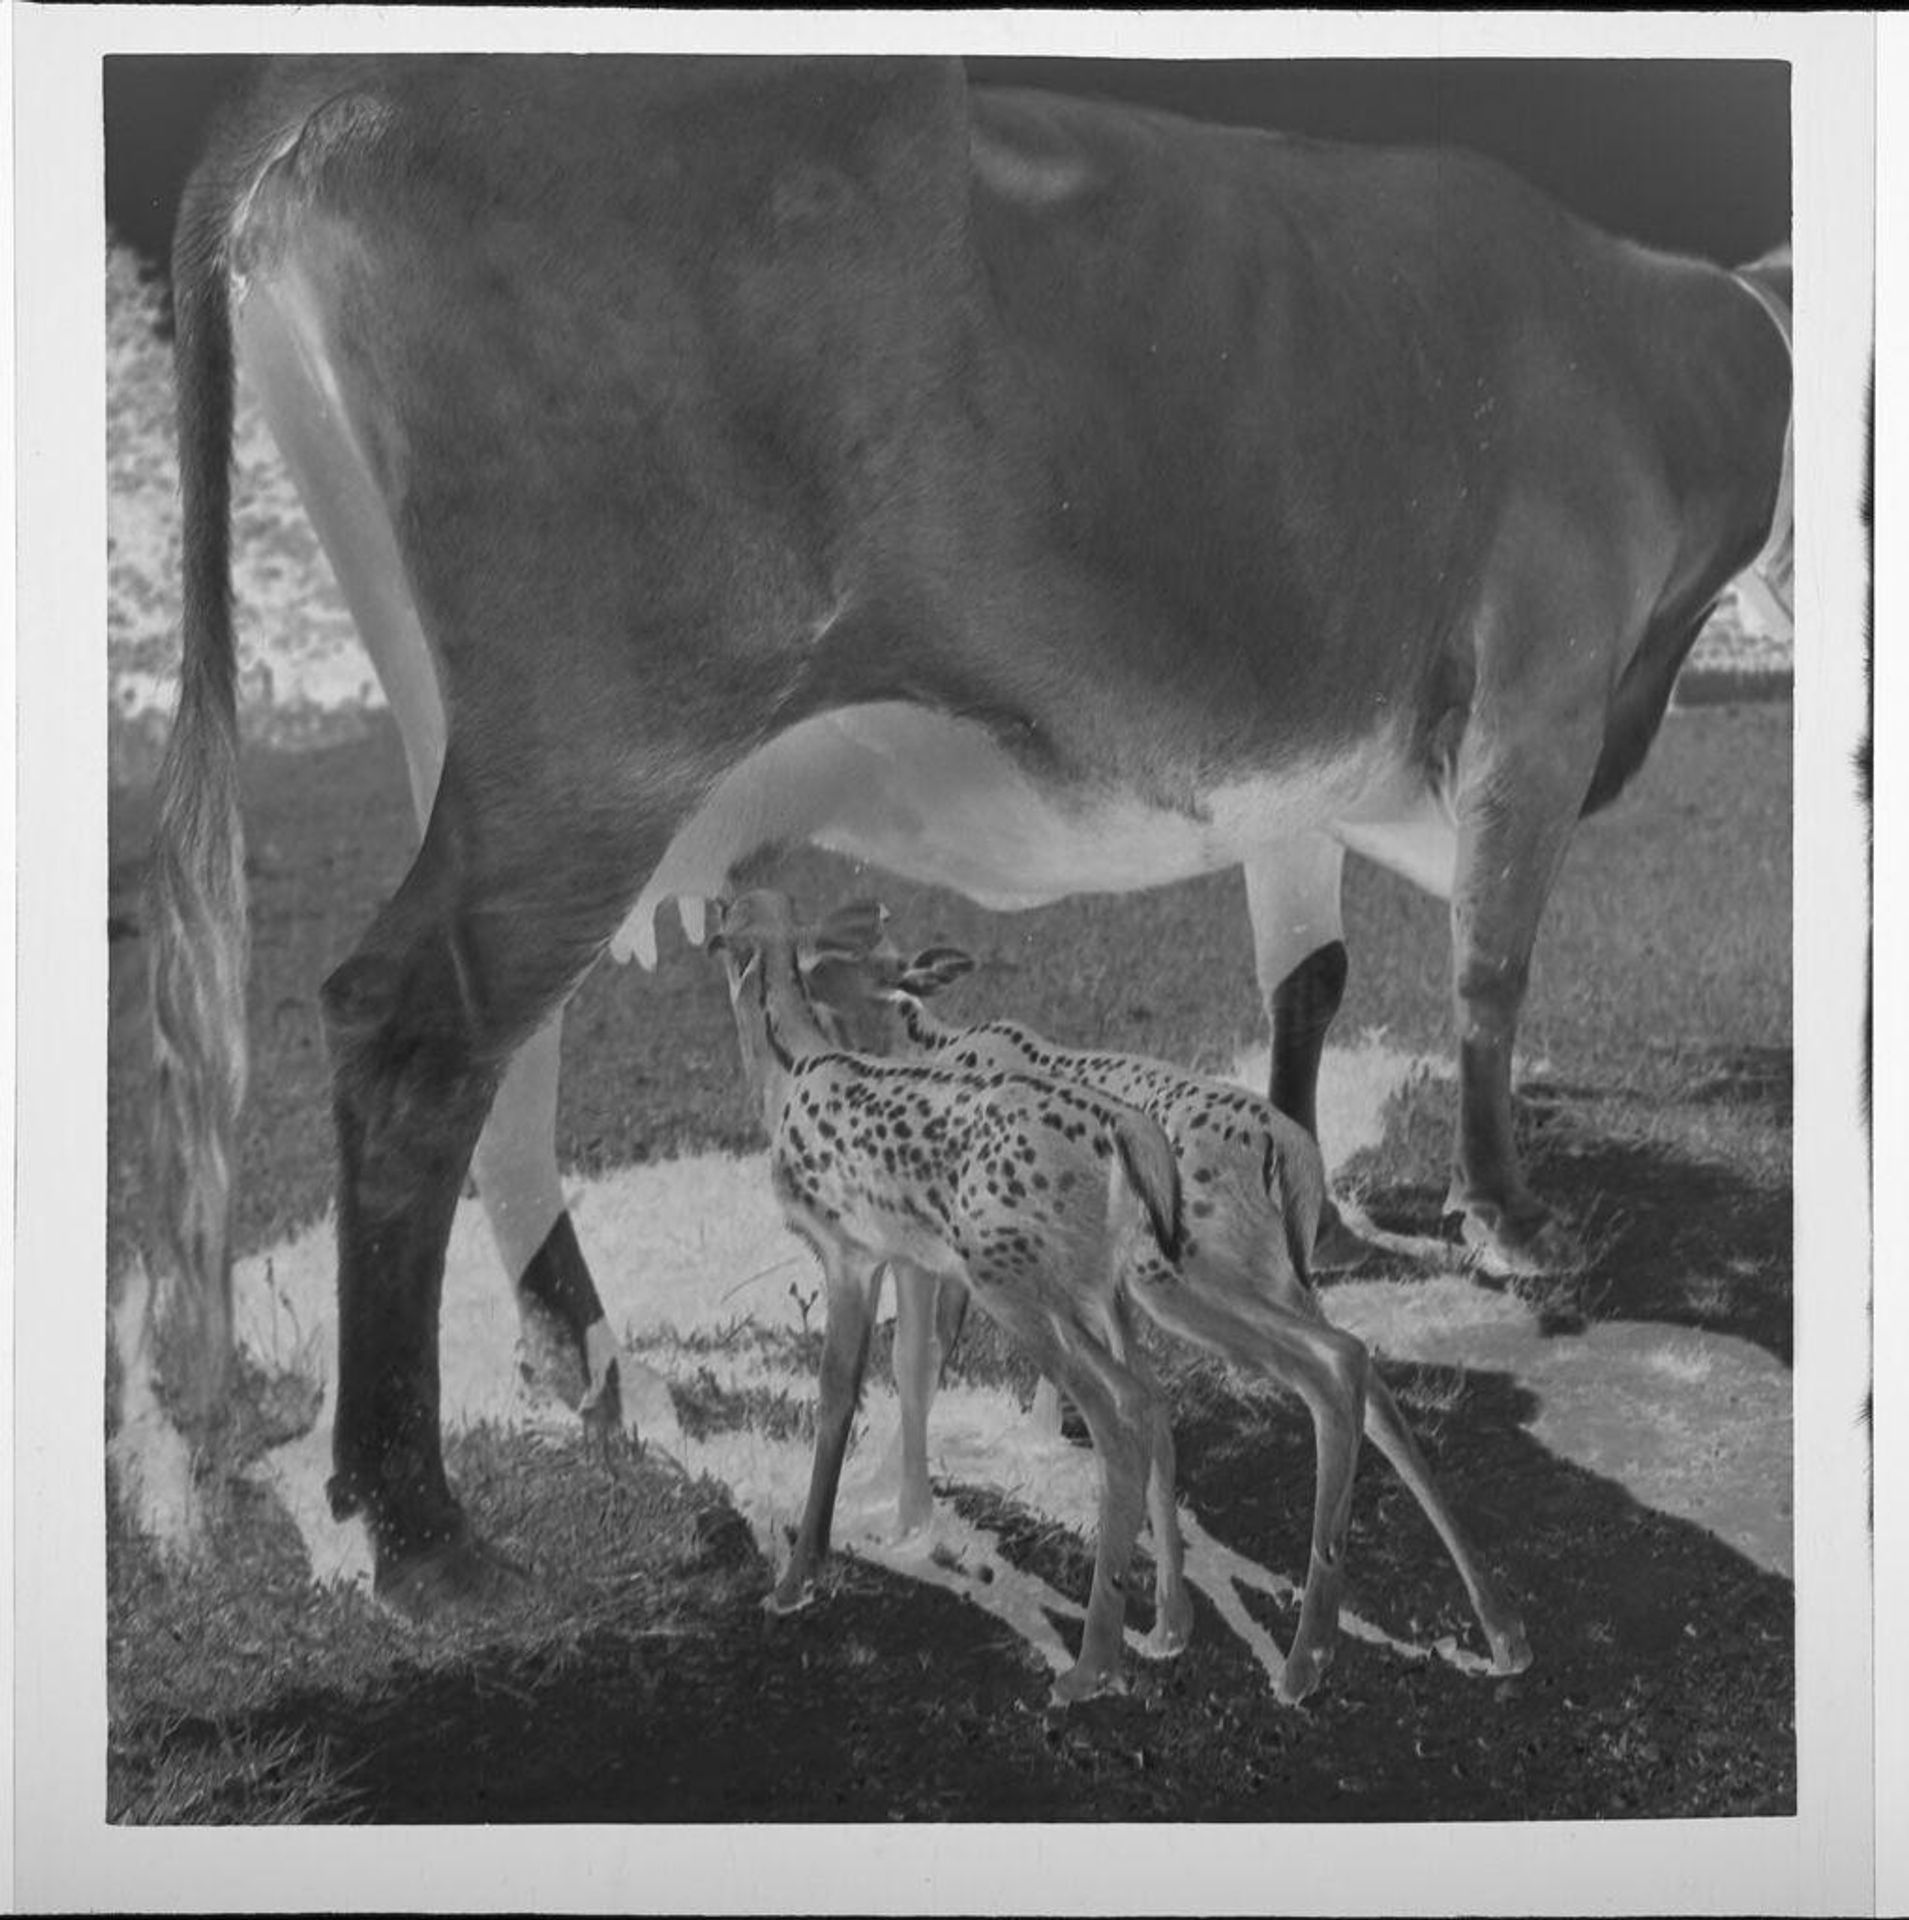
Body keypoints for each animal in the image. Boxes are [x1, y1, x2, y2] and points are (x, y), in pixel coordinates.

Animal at [145, 56, 1793, 1613]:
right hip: (596, 739)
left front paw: (1294, 1208)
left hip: (487, 742)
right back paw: (416, 1522)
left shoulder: (1292, 769)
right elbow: (1490, 973)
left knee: (509, 1054)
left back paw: (582, 1363)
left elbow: (1307, 984)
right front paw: (1504, 1218)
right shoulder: (1540, 697)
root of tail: (368, 78)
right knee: (417, 1037)